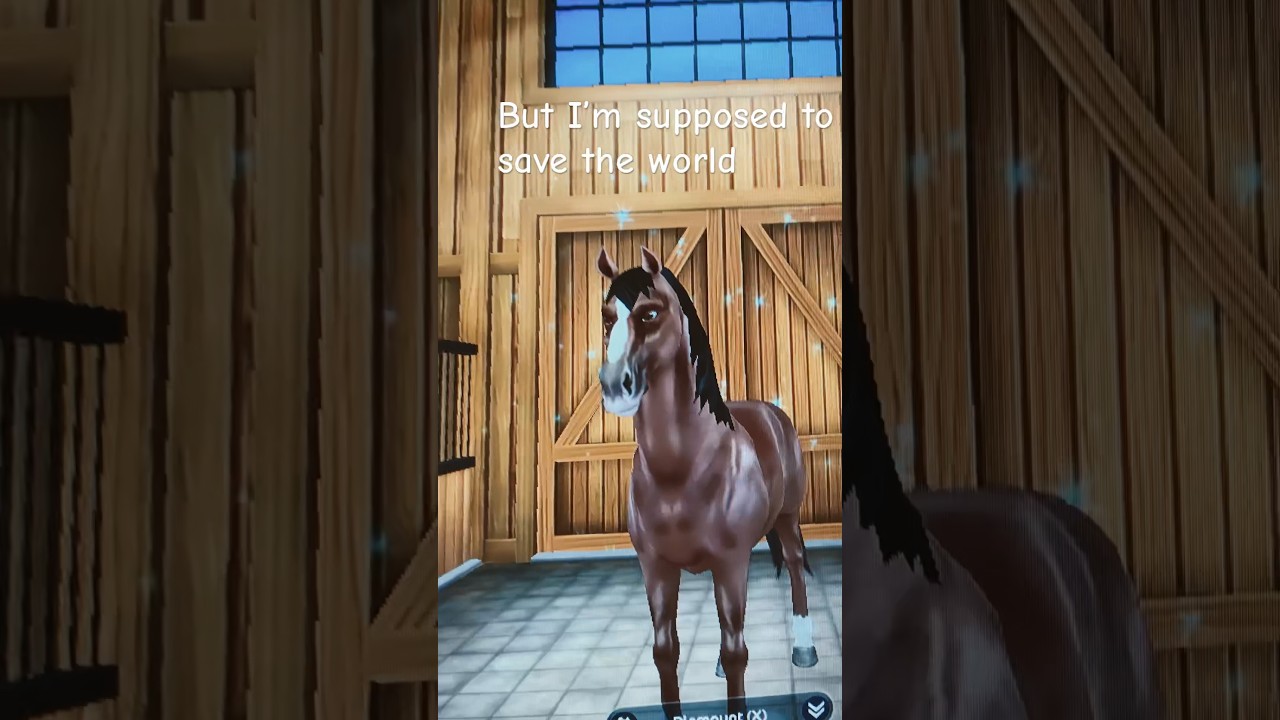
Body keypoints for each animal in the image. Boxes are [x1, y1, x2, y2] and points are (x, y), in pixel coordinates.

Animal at [594, 246, 815, 715]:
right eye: (606, 317)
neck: (681, 470)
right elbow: (666, 651)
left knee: (794, 567)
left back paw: (805, 649)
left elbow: (736, 653)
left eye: (650, 313)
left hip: (787, 519)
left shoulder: (730, 562)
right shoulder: (655, 567)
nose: (615, 386)